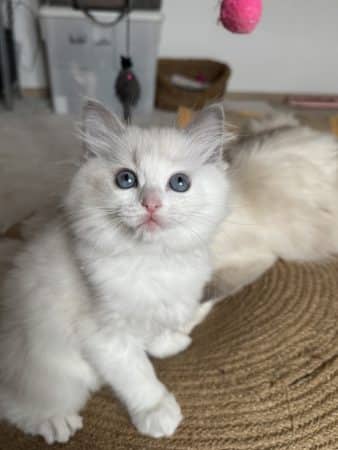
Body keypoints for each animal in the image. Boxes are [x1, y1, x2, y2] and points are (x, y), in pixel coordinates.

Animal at [0, 101, 230, 442]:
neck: (152, 261)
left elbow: (156, 331)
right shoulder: (106, 336)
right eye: (126, 179)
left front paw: (169, 344)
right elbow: (139, 375)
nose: (151, 204)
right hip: (53, 372)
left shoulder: (162, 304)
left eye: (179, 183)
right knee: (15, 404)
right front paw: (157, 412)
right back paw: (55, 423)